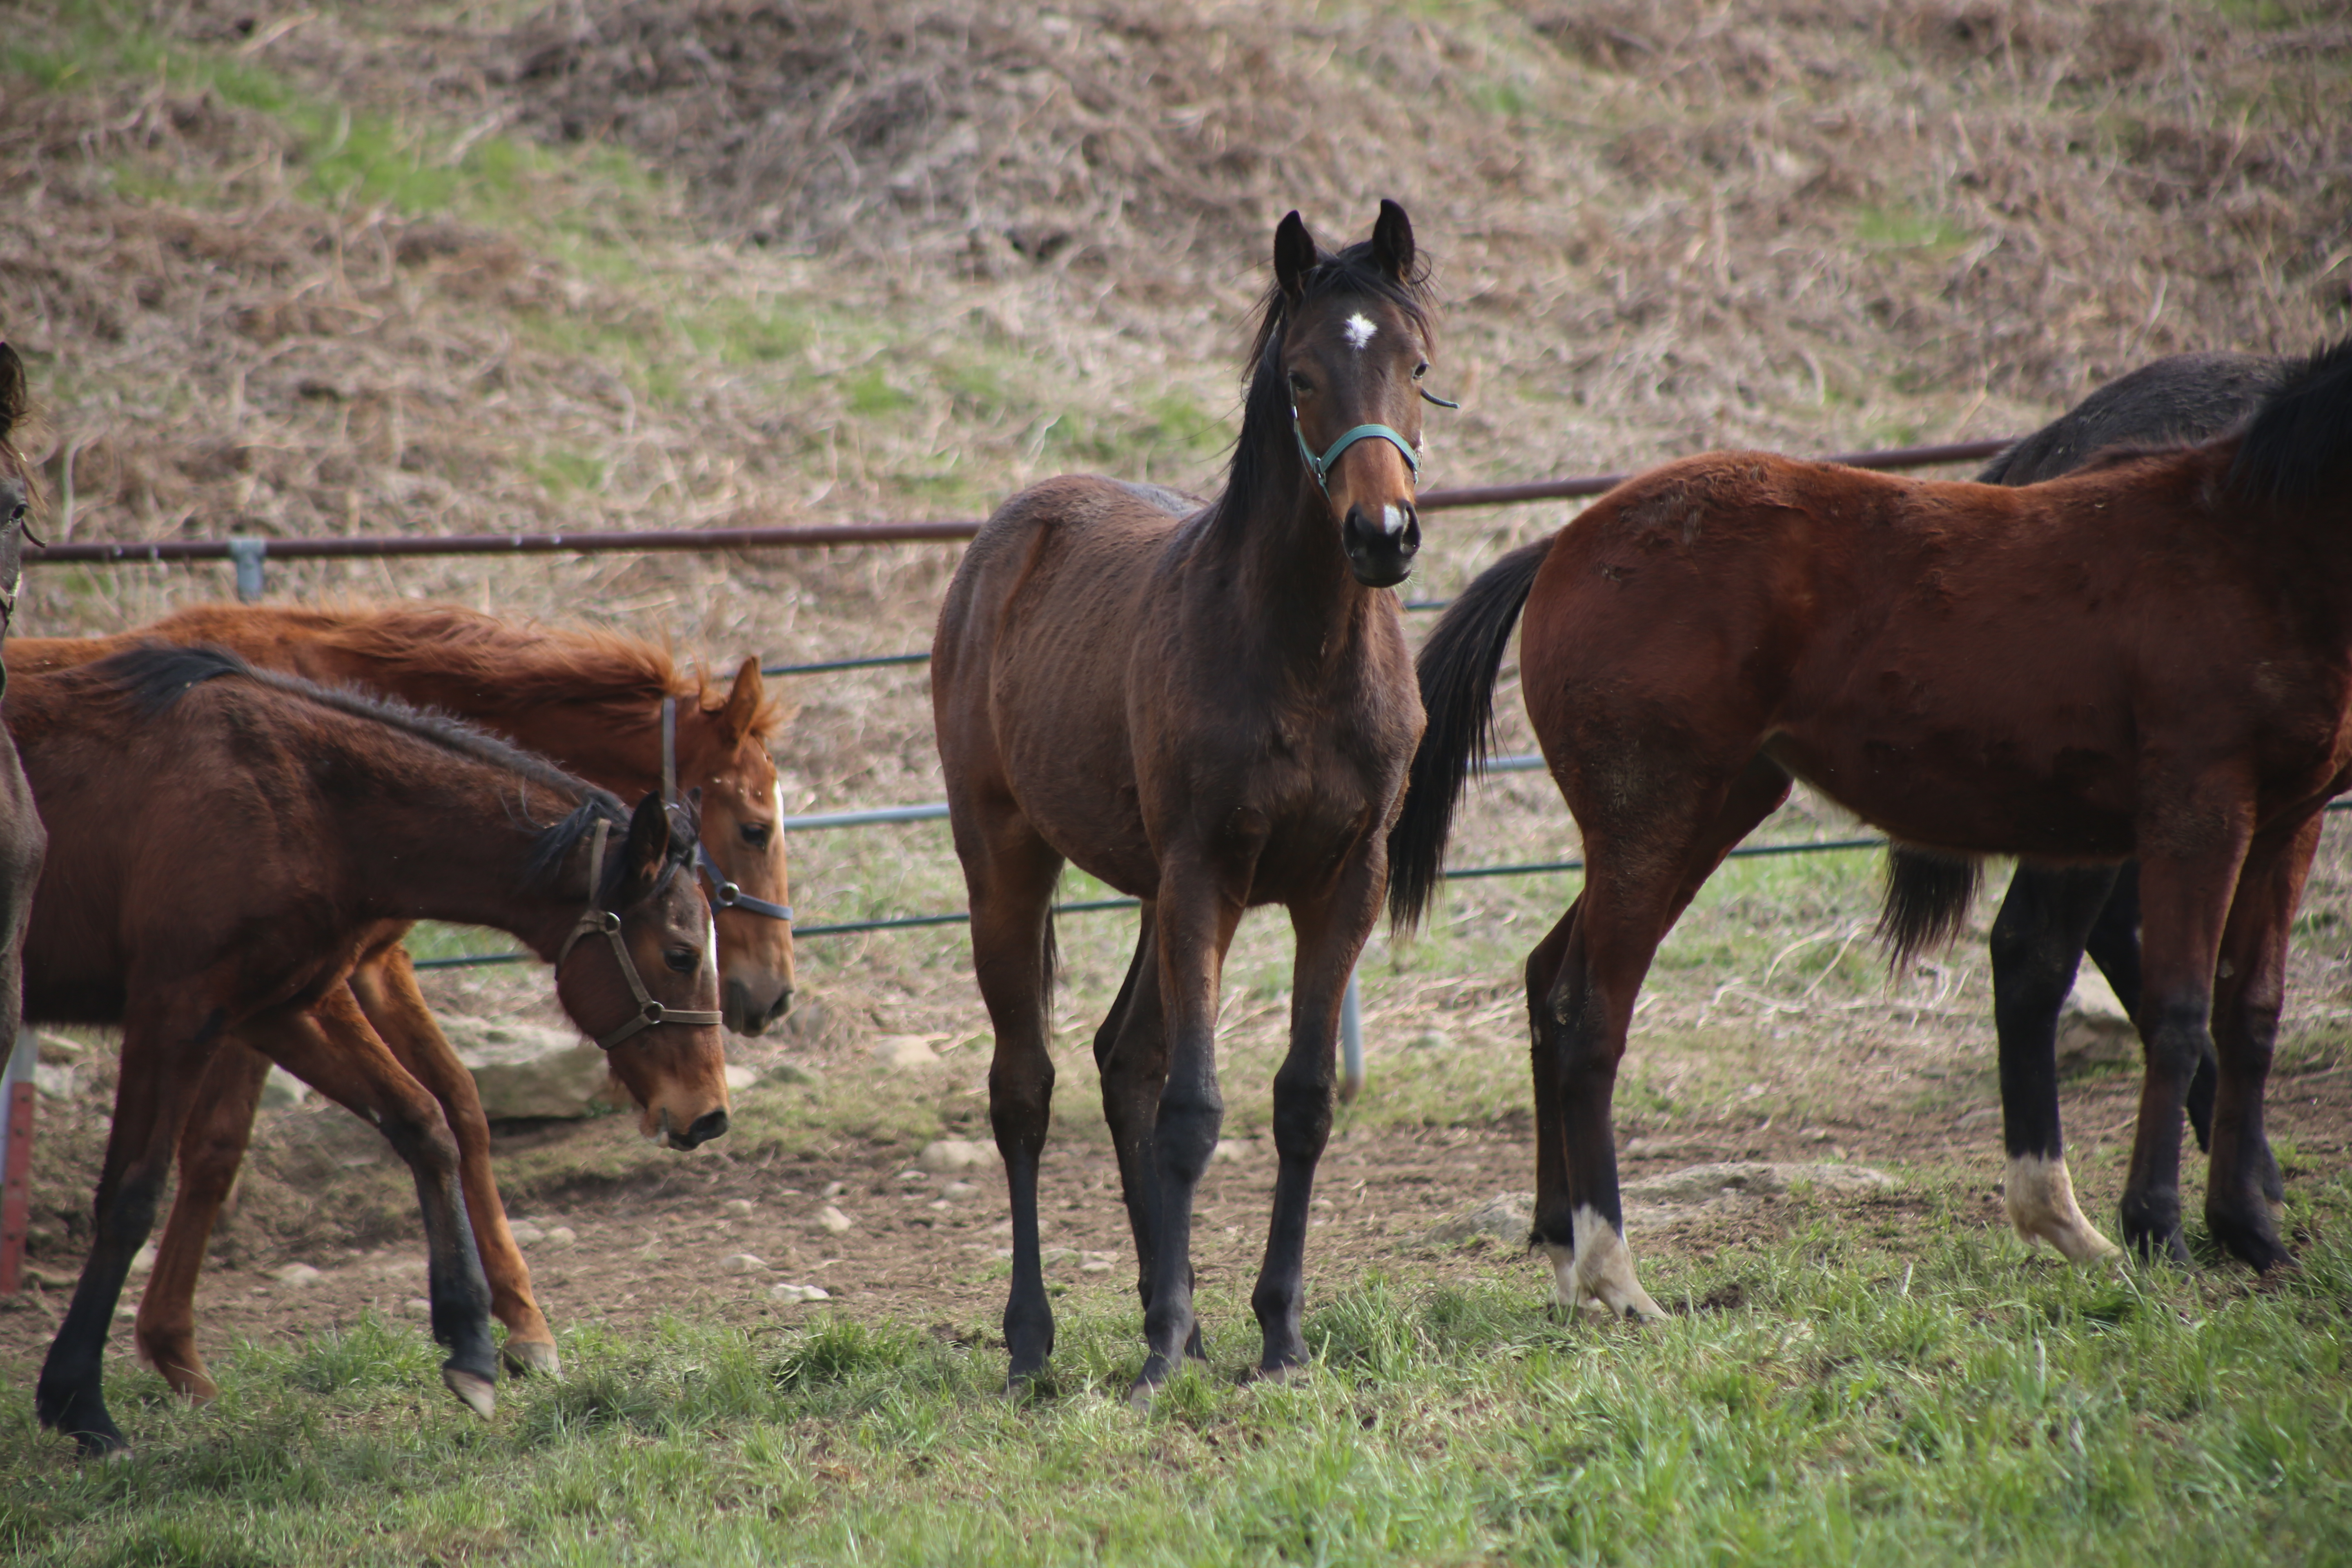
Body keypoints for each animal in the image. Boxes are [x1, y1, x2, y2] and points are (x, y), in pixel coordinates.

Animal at [7, 606, 800, 1401]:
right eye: (756, 829)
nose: (777, 995)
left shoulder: (344, 976)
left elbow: (457, 1109)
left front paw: (519, 1324)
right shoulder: (259, 995)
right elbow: (213, 1149)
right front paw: (171, 1349)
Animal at [931, 200, 1430, 1401]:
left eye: (1416, 365)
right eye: (1299, 375)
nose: (1382, 535)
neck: (1301, 655)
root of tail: (1006, 537)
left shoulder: (1342, 882)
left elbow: (1299, 1102)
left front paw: (1275, 1334)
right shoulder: (1206, 869)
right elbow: (1195, 1110)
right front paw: (1159, 1351)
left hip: (1161, 895)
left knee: (1123, 1059)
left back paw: (1188, 1316)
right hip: (1010, 864)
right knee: (1026, 1087)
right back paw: (1036, 1342)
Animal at [1383, 339, 2352, 1316]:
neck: (2247, 544)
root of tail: (1562, 546)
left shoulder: (2286, 825)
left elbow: (2251, 1009)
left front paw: (2249, 1230)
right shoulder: (2198, 810)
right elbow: (2180, 1008)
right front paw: (2163, 1229)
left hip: (1706, 814)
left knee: (1551, 978)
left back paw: (1564, 1250)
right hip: (1653, 820)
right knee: (1590, 1016)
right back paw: (1617, 1277)